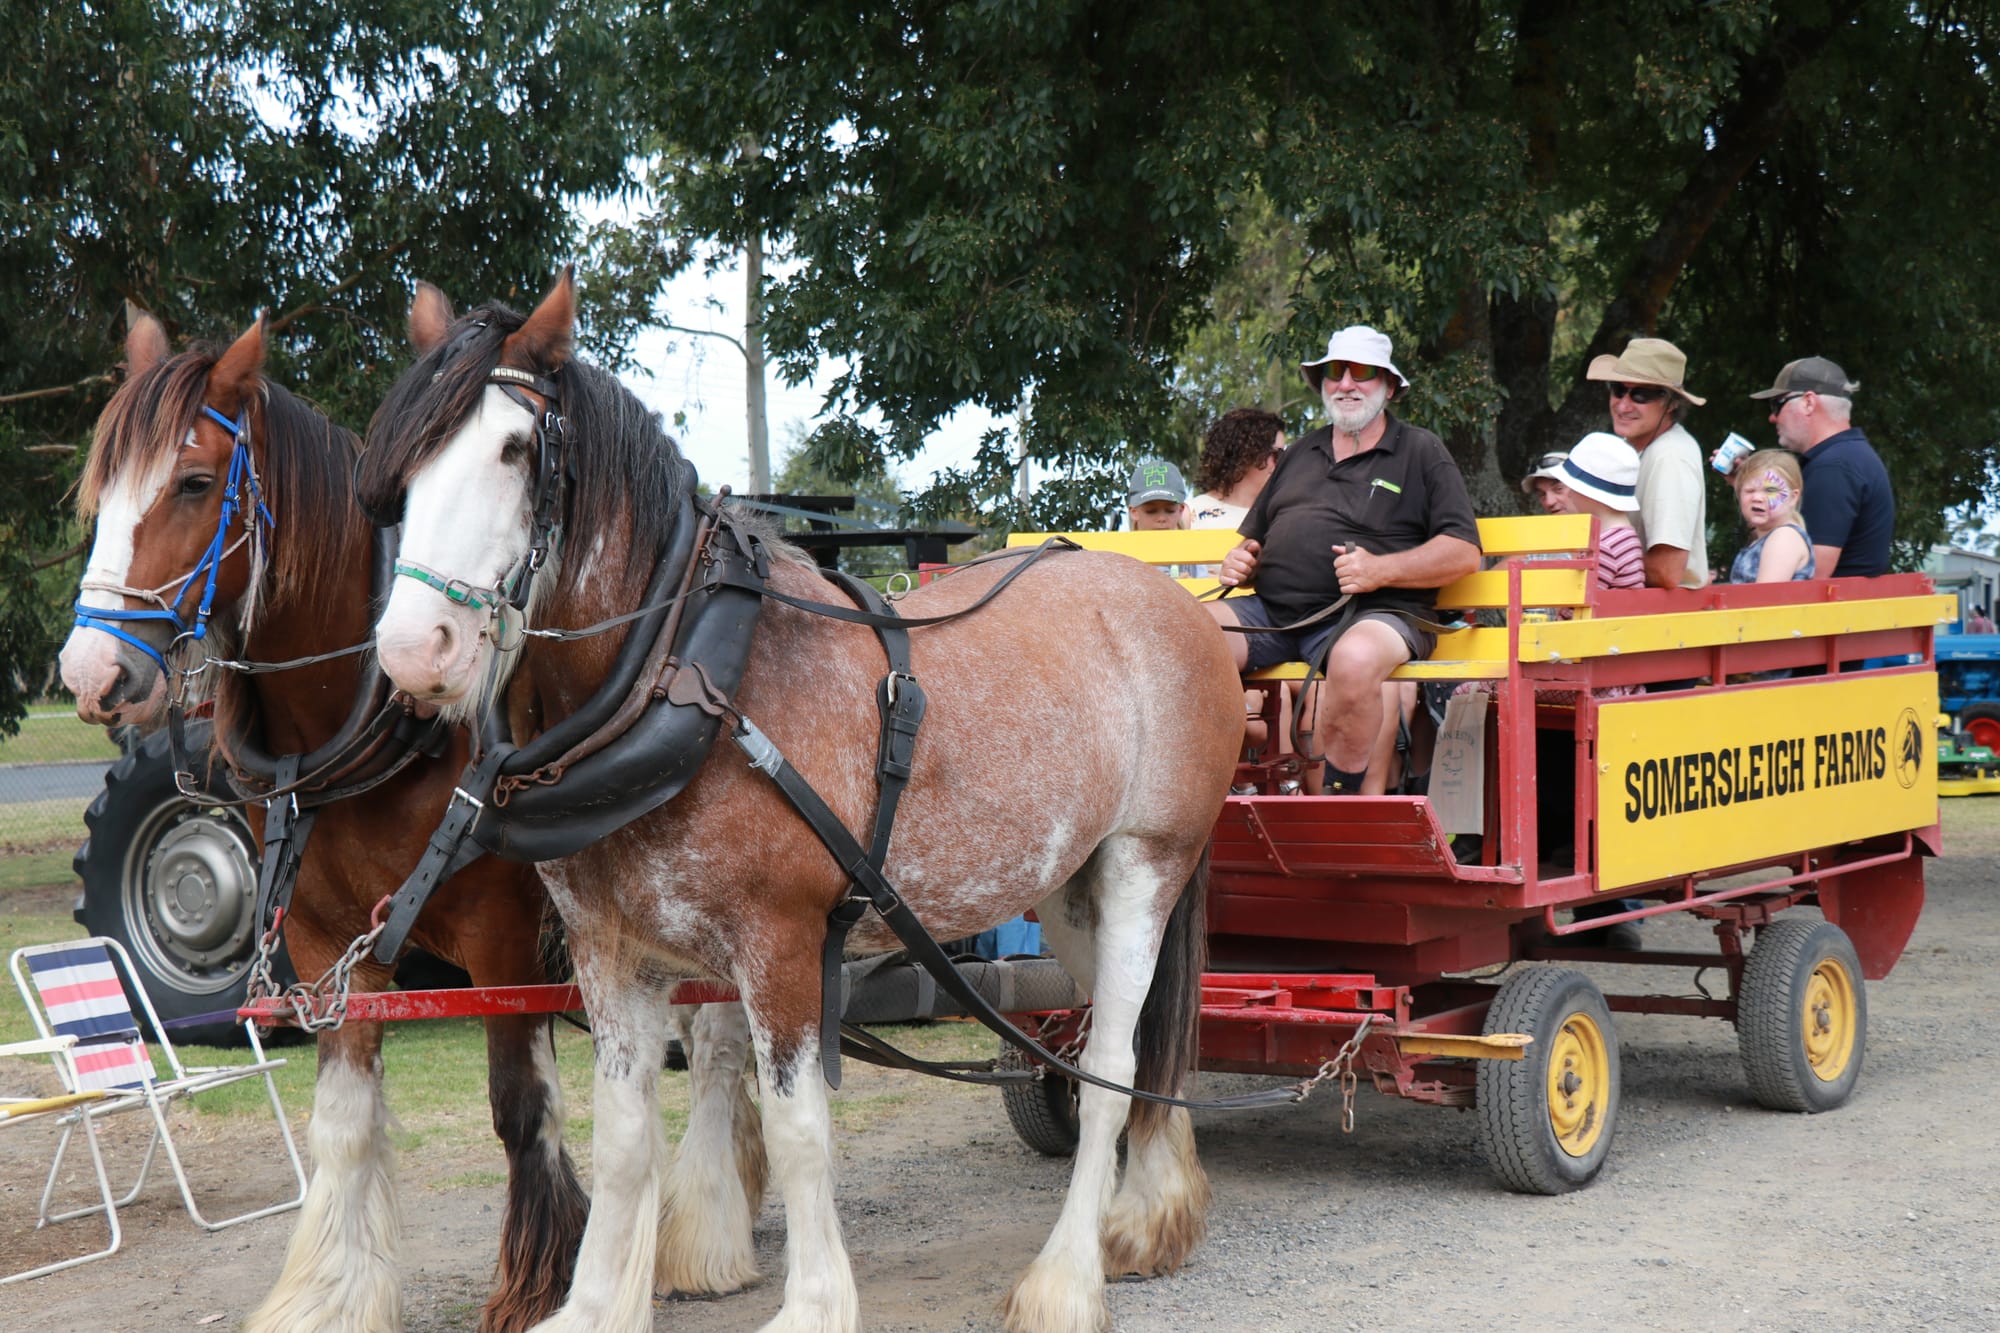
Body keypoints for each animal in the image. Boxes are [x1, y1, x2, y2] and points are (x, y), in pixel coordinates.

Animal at [54, 310, 761, 1328]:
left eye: (192, 483)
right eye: (99, 491)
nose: (89, 673)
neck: (382, 721)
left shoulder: (505, 931)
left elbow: (519, 1104)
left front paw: (541, 1278)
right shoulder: (324, 942)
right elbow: (343, 1120)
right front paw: (329, 1294)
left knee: (717, 1041)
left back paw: (706, 1224)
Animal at [356, 270, 1244, 1333]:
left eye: (516, 449)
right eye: (403, 465)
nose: (414, 651)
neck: (684, 675)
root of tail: (1170, 601)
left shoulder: (777, 944)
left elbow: (797, 1131)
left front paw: (815, 1302)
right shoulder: (610, 951)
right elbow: (625, 1139)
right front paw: (595, 1304)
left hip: (1149, 862)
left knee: (1110, 1067)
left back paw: (1066, 1279)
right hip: (1073, 888)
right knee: (1134, 1050)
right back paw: (1150, 1216)